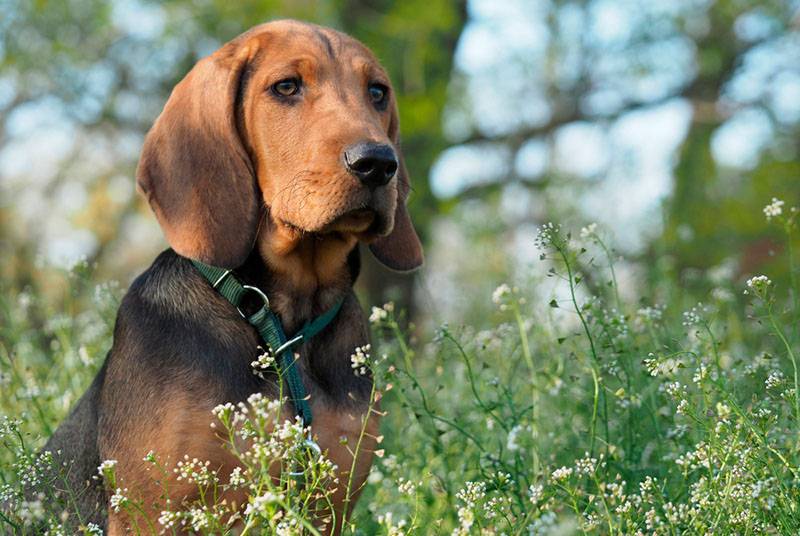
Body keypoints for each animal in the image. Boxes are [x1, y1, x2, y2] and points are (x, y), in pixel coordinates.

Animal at [42, 17, 424, 532]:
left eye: (378, 92)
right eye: (286, 86)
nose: (378, 163)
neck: (283, 326)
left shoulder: (331, 502)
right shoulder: (152, 511)